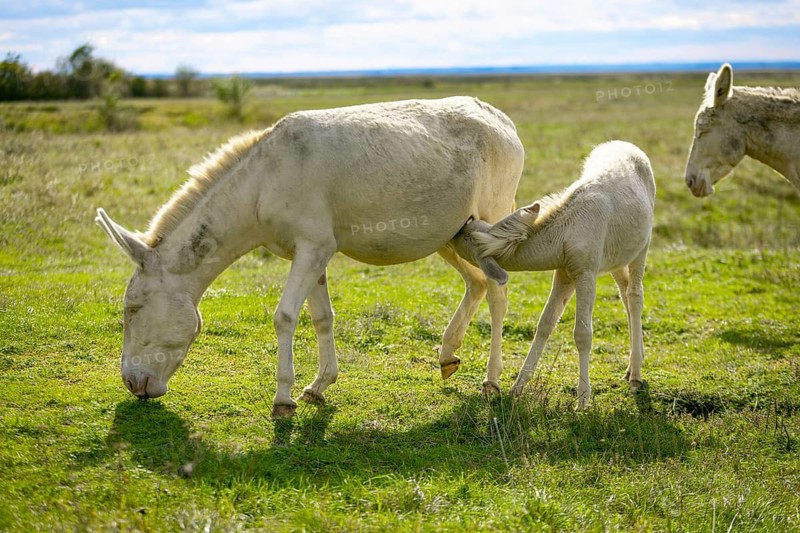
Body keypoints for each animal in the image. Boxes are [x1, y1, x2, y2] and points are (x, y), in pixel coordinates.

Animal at [96, 96, 524, 418]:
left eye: (131, 310)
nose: (132, 384)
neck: (261, 184)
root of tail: (500, 118)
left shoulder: (313, 248)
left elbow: (285, 316)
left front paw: (282, 400)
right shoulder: (313, 254)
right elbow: (321, 317)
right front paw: (319, 386)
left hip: (487, 223)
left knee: (498, 290)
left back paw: (492, 379)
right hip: (451, 235)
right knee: (477, 283)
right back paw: (448, 356)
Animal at [452, 141, 655, 408]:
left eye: (467, 238)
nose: (459, 227)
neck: (566, 233)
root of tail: (627, 144)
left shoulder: (586, 271)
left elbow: (583, 334)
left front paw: (583, 401)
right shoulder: (564, 271)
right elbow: (545, 323)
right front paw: (517, 388)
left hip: (643, 245)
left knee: (635, 294)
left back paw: (636, 377)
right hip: (617, 257)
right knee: (624, 292)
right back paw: (631, 369)